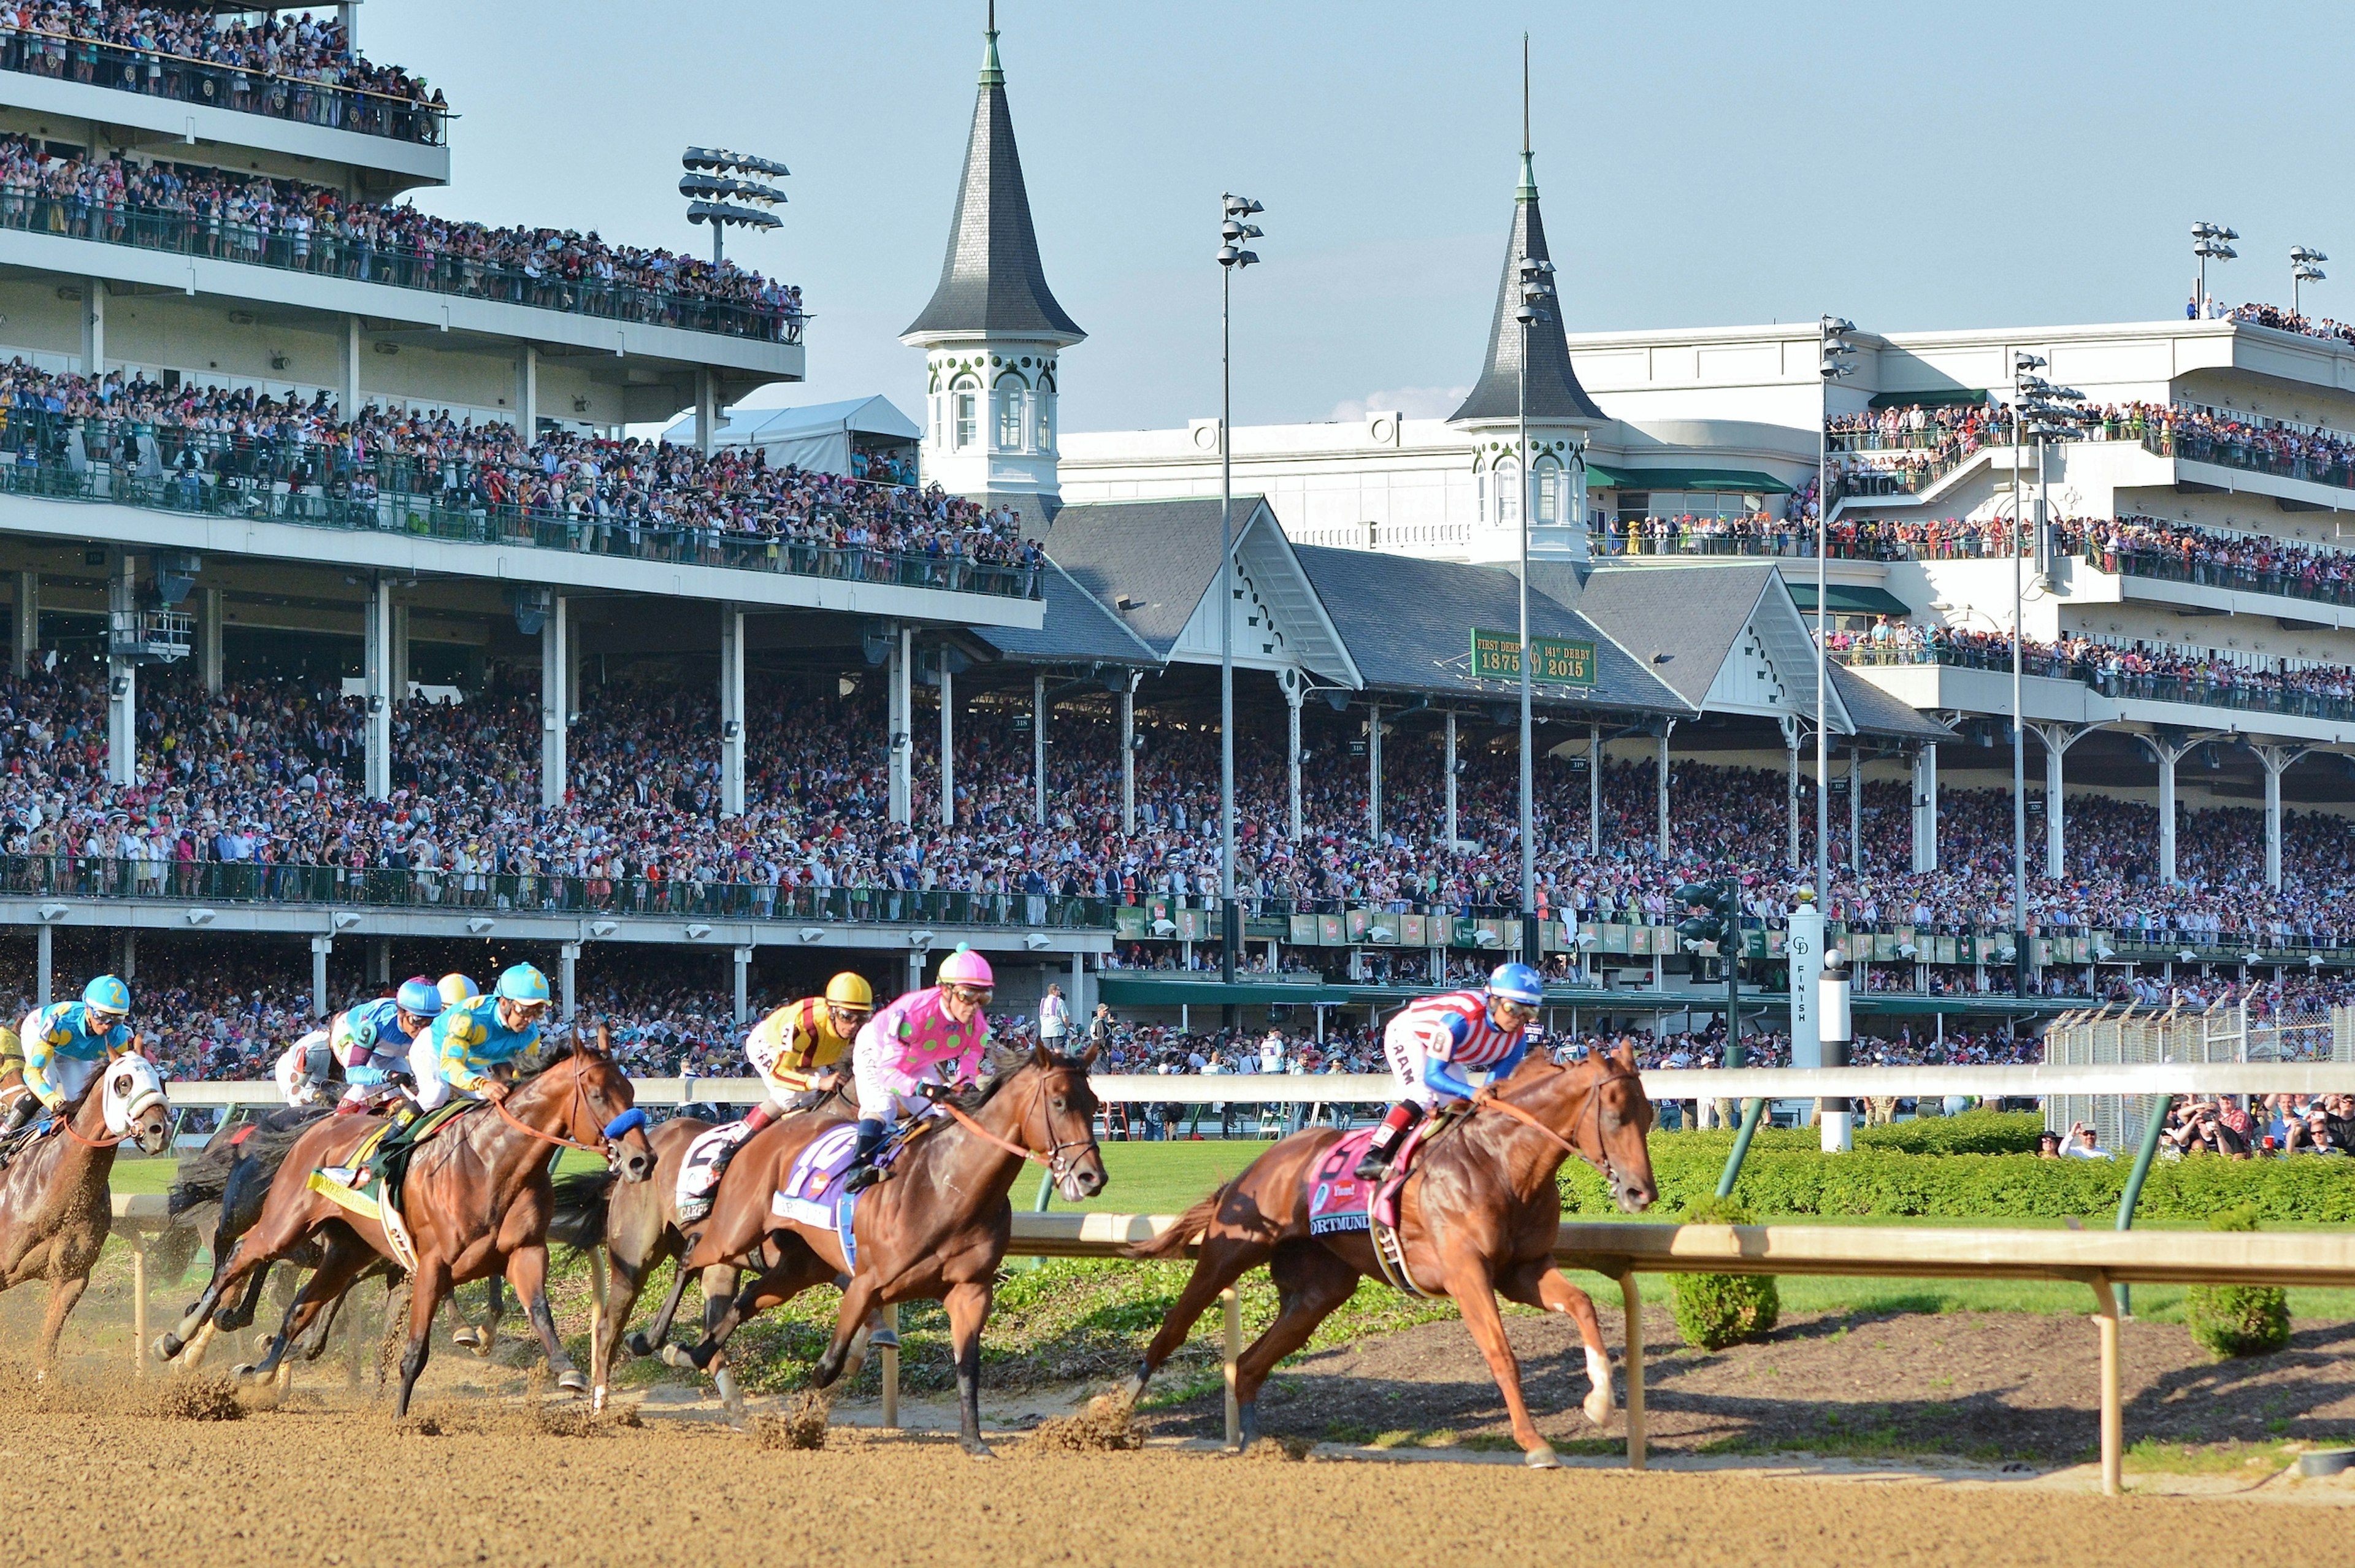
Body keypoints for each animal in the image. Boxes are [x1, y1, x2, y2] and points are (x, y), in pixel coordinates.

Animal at [153, 1036, 654, 1403]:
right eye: (597, 1094)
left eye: (632, 1092)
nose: (641, 1159)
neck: (490, 1160)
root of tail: (310, 1129)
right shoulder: (426, 1260)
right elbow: (413, 1333)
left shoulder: (517, 1250)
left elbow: (533, 1308)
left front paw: (565, 1370)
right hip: (276, 1222)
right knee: (238, 1253)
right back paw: (180, 1337)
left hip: (336, 1244)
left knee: (288, 1294)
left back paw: (248, 1354)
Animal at [654, 1036, 1111, 1450]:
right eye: (1059, 1102)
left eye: (1093, 1102)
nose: (1092, 1176)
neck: (947, 1187)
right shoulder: (865, 1283)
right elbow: (828, 1366)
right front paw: (800, 1426)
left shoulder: (971, 1291)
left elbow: (968, 1367)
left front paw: (974, 1442)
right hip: (735, 1232)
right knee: (692, 1256)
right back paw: (654, 1339)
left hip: (799, 1266)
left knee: (745, 1298)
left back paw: (693, 1353)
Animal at [1125, 1045, 1658, 1459]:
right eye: (1615, 1116)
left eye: (1649, 1116)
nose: (1641, 1193)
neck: (1501, 1163)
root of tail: (1258, 1164)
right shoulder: (1467, 1273)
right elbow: (1501, 1353)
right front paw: (1534, 1442)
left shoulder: (1523, 1270)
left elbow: (1583, 1304)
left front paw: (1599, 1403)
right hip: (1229, 1252)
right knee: (1174, 1327)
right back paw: (1120, 1408)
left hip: (1320, 1289)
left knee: (1251, 1364)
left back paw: (1258, 1442)